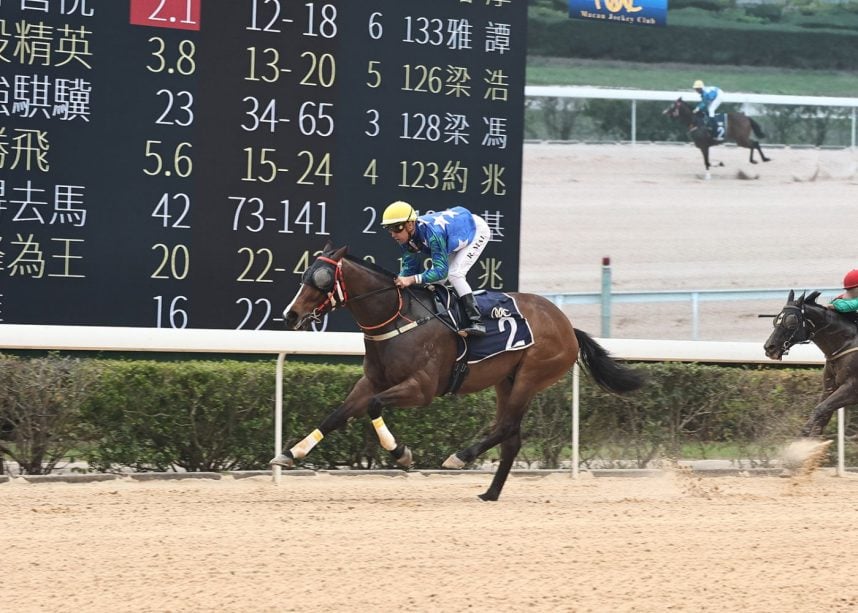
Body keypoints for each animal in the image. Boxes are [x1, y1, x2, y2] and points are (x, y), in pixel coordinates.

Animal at [270, 241, 640, 500]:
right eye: (304, 276)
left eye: (322, 280)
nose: (290, 315)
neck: (398, 318)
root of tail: (567, 326)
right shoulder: (371, 381)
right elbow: (336, 415)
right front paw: (289, 454)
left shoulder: (421, 389)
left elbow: (375, 406)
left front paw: (401, 453)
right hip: (506, 380)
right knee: (512, 438)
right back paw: (490, 493)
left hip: (531, 375)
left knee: (506, 427)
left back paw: (460, 457)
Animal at [764, 290, 856, 438]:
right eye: (776, 319)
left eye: (791, 321)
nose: (769, 347)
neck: (847, 344)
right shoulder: (830, 387)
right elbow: (821, 416)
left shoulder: (852, 388)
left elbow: (820, 409)